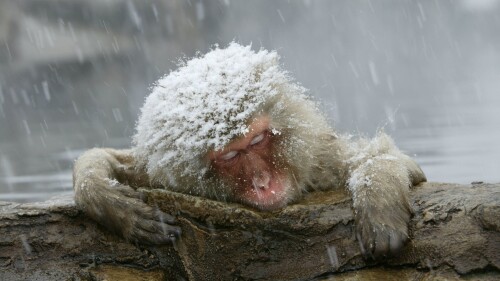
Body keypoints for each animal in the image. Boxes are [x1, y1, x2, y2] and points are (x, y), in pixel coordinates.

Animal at [73, 42, 426, 258]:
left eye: (257, 141)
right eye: (230, 156)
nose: (262, 181)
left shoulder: (320, 158)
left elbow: (387, 159)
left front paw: (380, 208)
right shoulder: (156, 173)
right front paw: (109, 201)